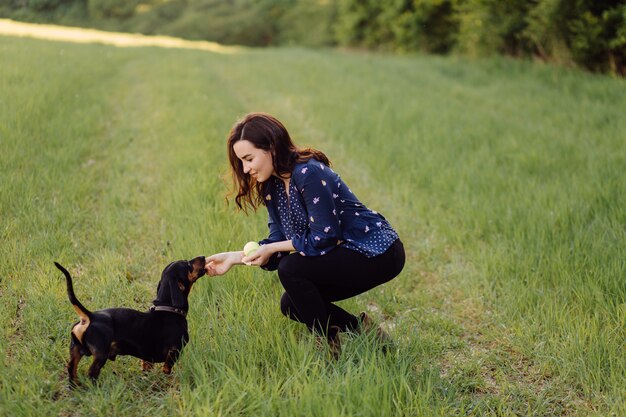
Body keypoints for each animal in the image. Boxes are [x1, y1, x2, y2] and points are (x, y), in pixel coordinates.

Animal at [53, 255, 205, 386]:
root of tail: (90, 317)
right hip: (100, 354)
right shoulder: (175, 350)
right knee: (91, 373)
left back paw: (74, 386)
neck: (168, 308)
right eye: (188, 264)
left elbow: (146, 365)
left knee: (71, 368)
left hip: (75, 350)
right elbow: (167, 368)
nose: (203, 257)